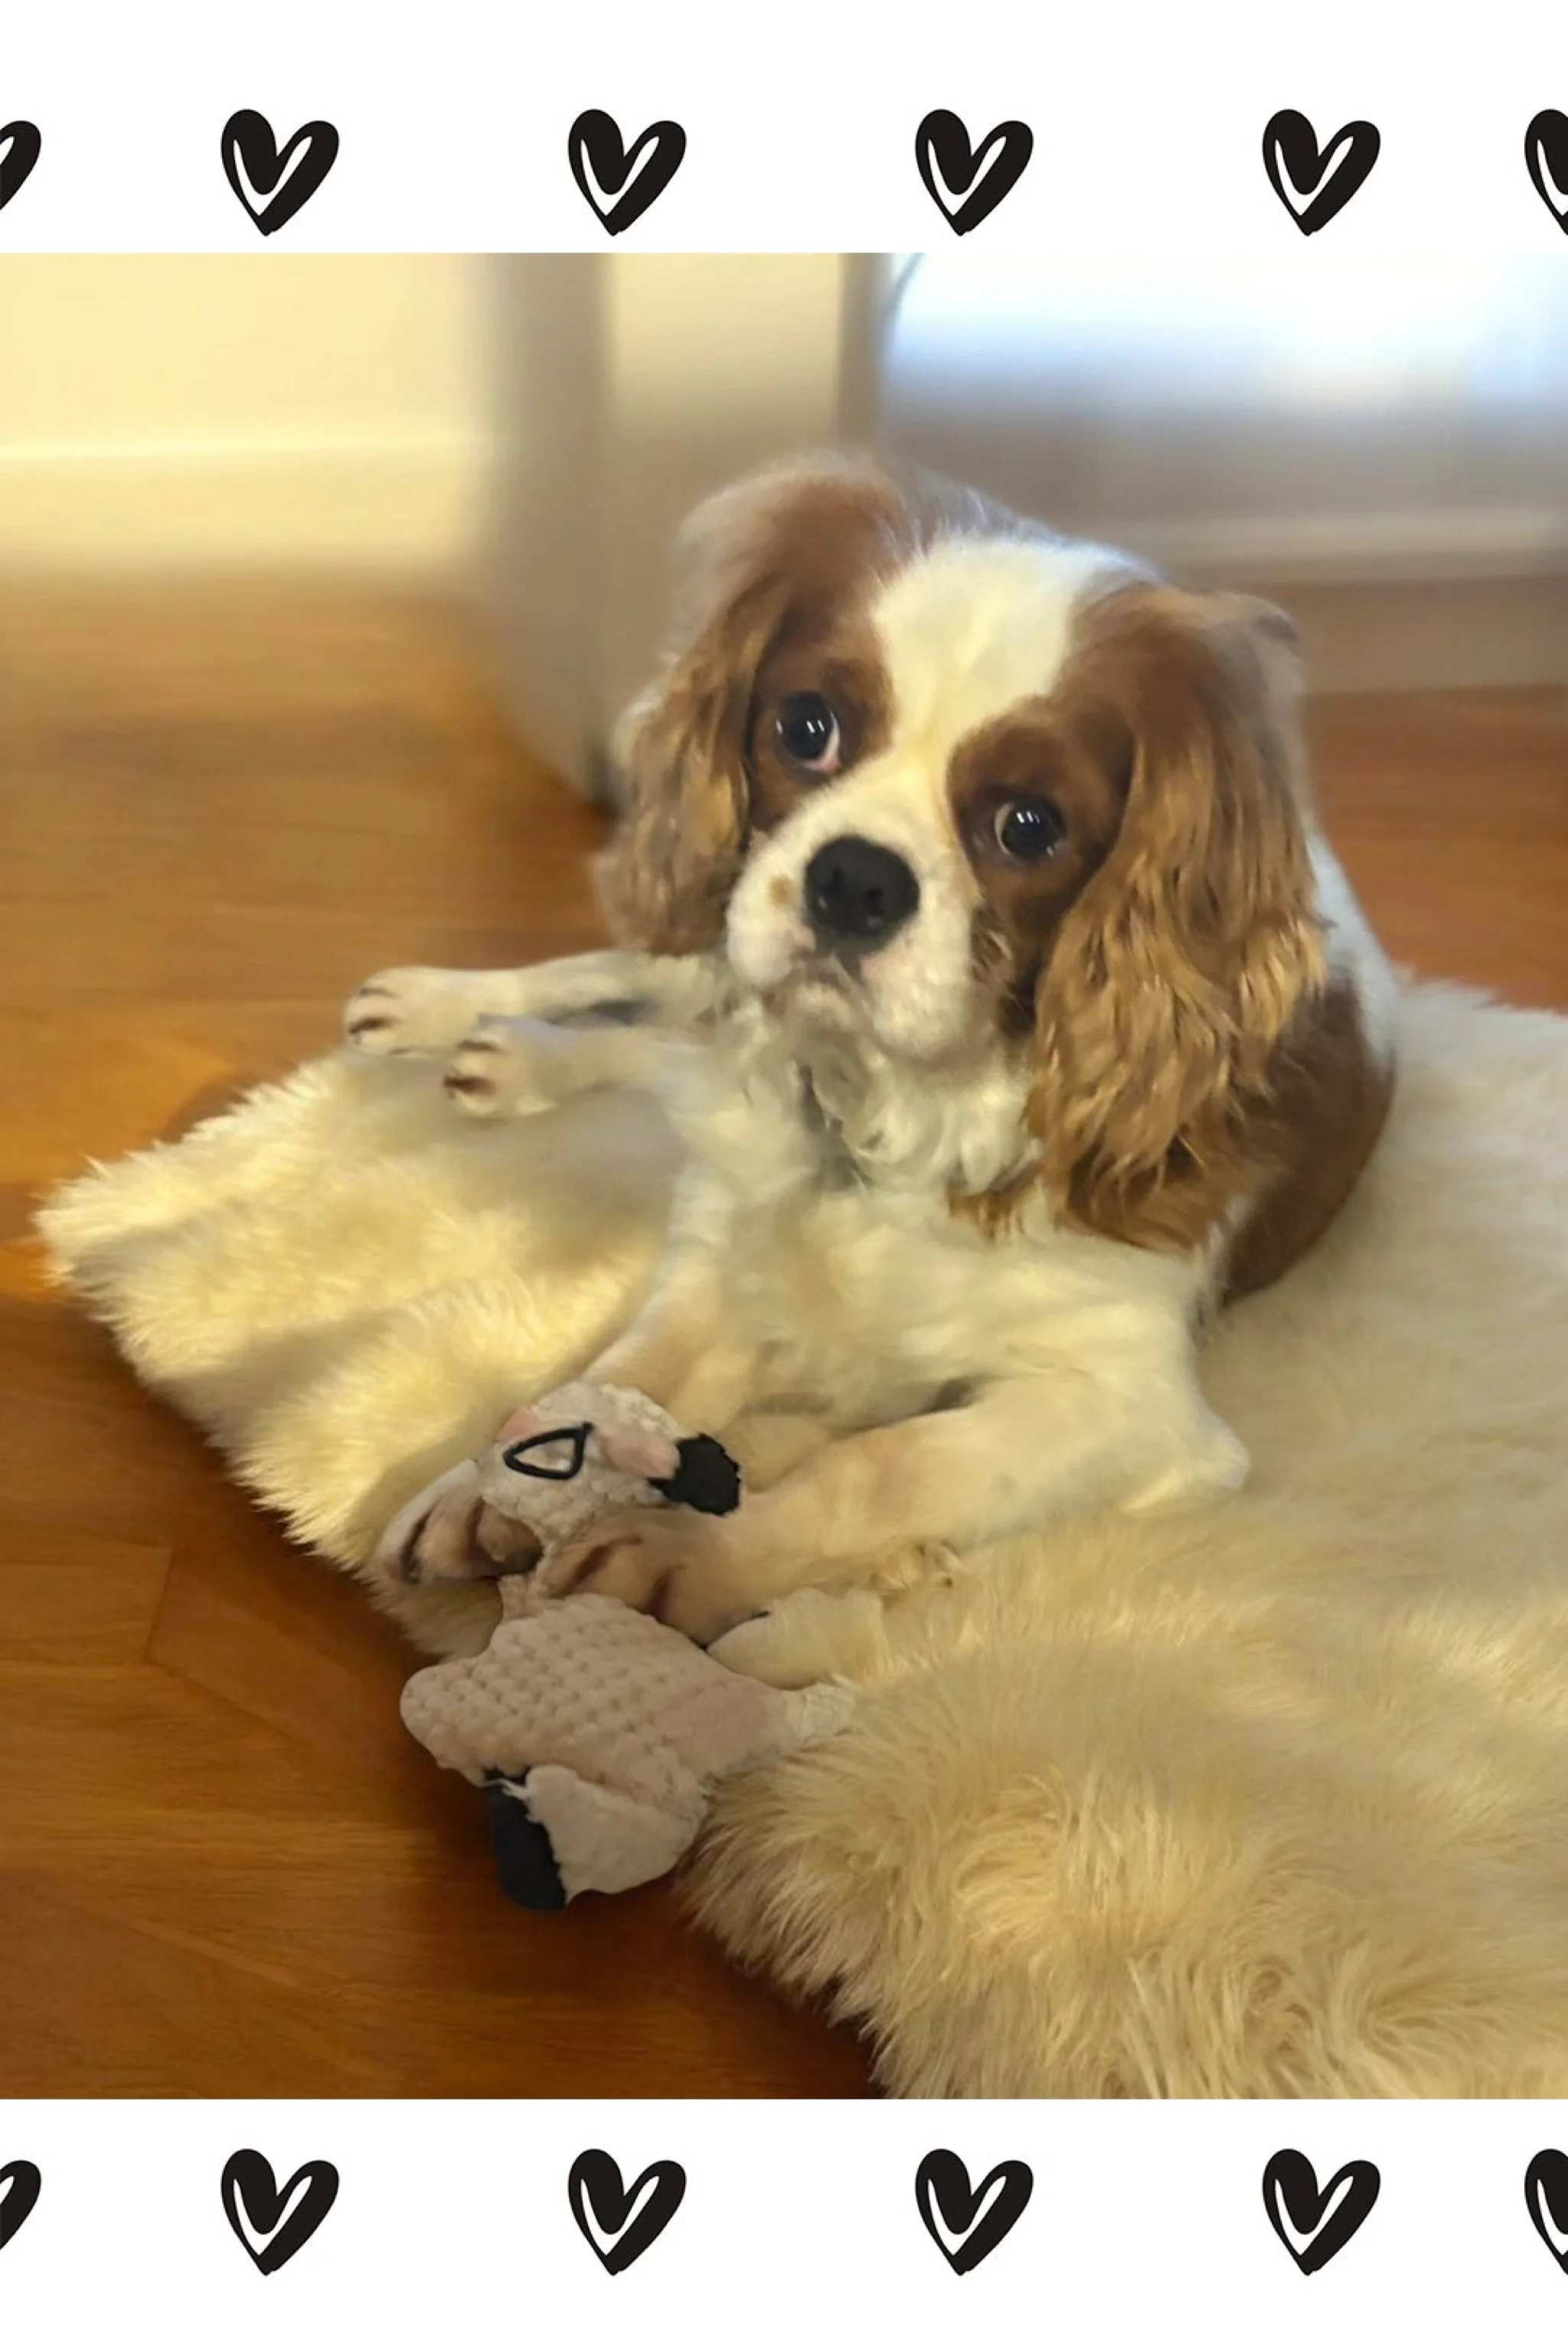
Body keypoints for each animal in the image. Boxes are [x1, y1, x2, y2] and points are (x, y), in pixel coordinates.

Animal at [345, 453, 1397, 1644]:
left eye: (1029, 825)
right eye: (806, 727)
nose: (853, 879)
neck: (881, 1110)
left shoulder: (1129, 1407)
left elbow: (882, 1465)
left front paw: (696, 1557)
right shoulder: (725, 1250)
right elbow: (627, 1365)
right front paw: (486, 1481)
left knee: (655, 1047)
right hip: (709, 959)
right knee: (631, 997)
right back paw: (463, 1017)